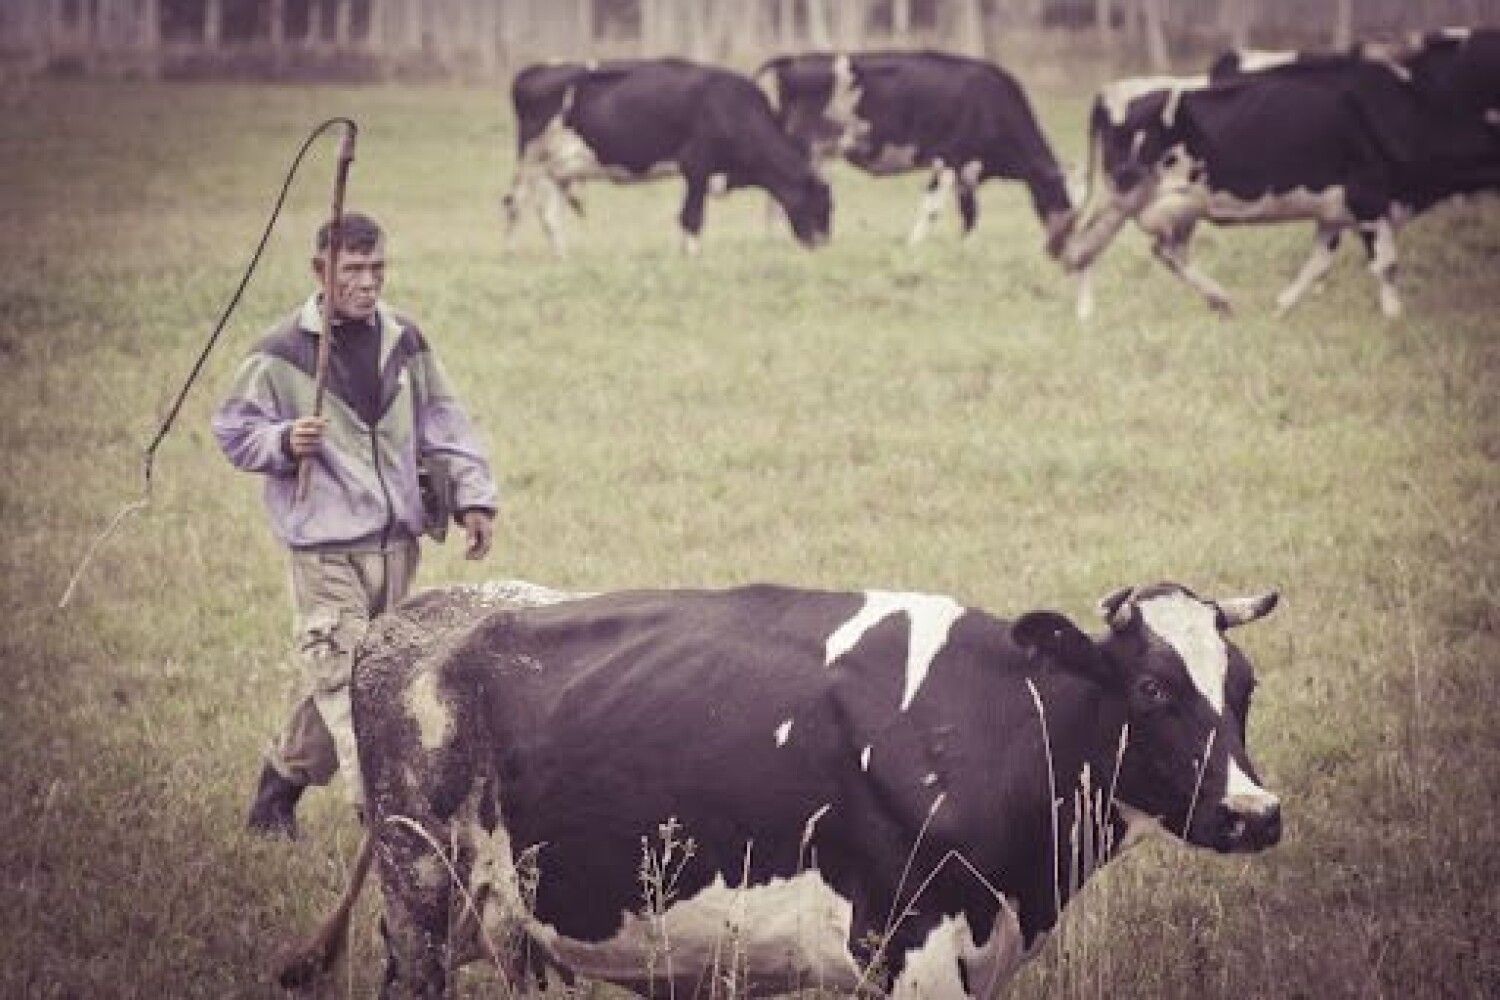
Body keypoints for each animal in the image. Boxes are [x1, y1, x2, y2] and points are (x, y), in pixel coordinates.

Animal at [279, 578, 1278, 1000]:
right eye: (1151, 690)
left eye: (1244, 688)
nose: (1256, 815)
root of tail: (413, 617)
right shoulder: (910, 952)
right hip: (419, 886)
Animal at [501, 58, 834, 256]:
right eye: (823, 205)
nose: (822, 245)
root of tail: (533, 70)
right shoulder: (697, 167)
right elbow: (692, 217)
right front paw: (692, 258)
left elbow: (688, 217)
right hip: (530, 161)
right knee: (514, 205)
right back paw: (511, 254)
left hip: (556, 169)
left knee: (549, 216)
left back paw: (562, 258)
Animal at [756, 50, 1074, 254]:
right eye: (1062, 199)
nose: (1062, 246)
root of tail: (794, 61)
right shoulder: (948, 160)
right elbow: (933, 208)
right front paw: (914, 245)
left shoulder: (967, 170)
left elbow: (970, 212)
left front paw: (967, 247)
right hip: (806, 145)